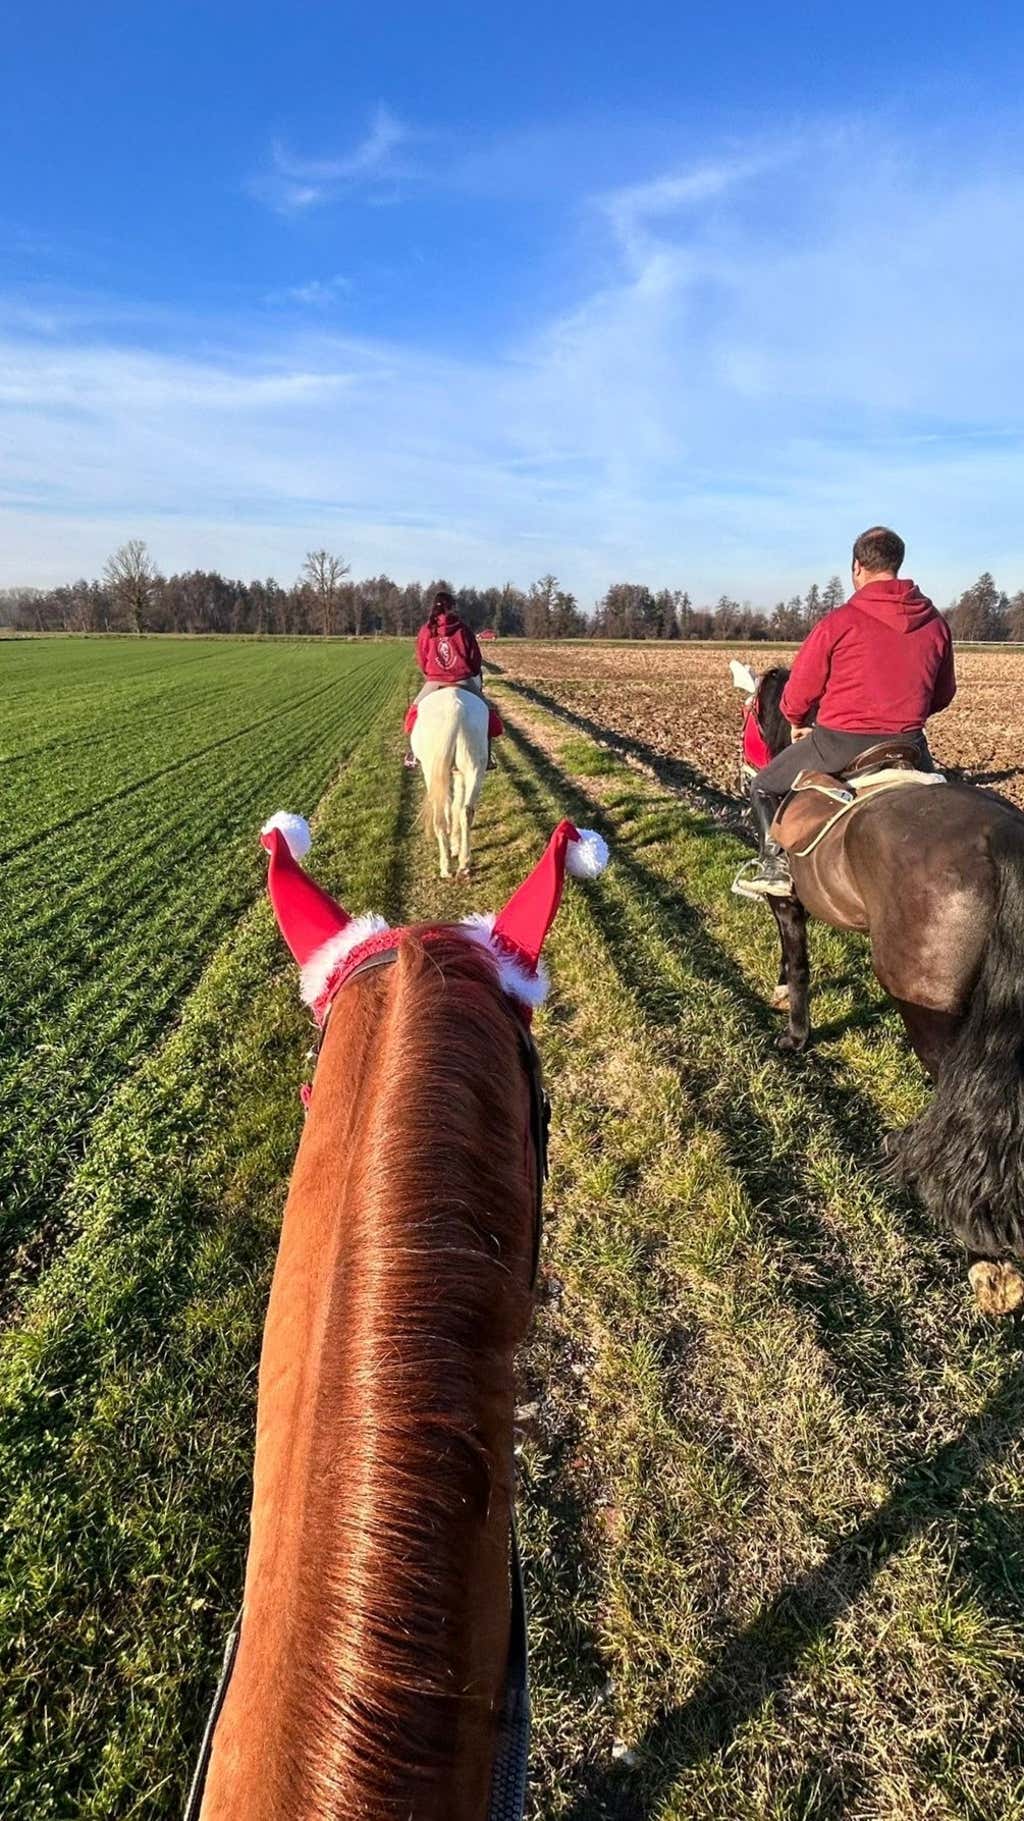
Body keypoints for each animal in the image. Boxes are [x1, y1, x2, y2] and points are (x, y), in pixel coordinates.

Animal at [411, 685, 489, 881]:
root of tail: (455, 709)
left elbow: (449, 805)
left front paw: (452, 844)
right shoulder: (458, 774)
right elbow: (456, 805)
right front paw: (455, 844)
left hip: (431, 770)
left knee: (439, 816)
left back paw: (445, 867)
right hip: (474, 768)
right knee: (466, 811)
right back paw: (464, 864)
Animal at [739, 667, 1024, 1313]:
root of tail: (1003, 842)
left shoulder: (788, 906)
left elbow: (798, 962)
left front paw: (794, 1035)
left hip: (934, 1020)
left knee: (961, 1105)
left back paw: (982, 1252)